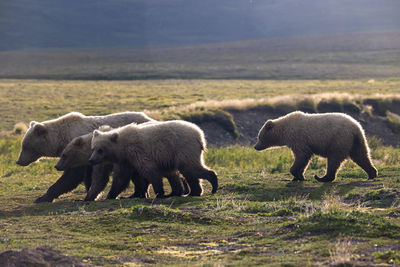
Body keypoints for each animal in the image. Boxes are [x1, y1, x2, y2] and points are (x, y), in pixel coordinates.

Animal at [15, 111, 154, 203]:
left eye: (26, 146)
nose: (19, 161)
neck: (62, 139)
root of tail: (151, 119)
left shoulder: (78, 152)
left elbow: (71, 176)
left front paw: (43, 197)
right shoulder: (86, 157)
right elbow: (87, 176)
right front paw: (90, 192)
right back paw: (136, 194)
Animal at [88, 120, 219, 198]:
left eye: (100, 150)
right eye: (93, 148)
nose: (91, 160)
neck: (122, 147)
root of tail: (200, 135)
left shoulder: (137, 151)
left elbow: (149, 171)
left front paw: (159, 193)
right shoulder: (126, 161)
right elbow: (121, 178)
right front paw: (111, 195)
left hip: (183, 148)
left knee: (190, 168)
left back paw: (212, 183)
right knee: (189, 172)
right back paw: (194, 192)